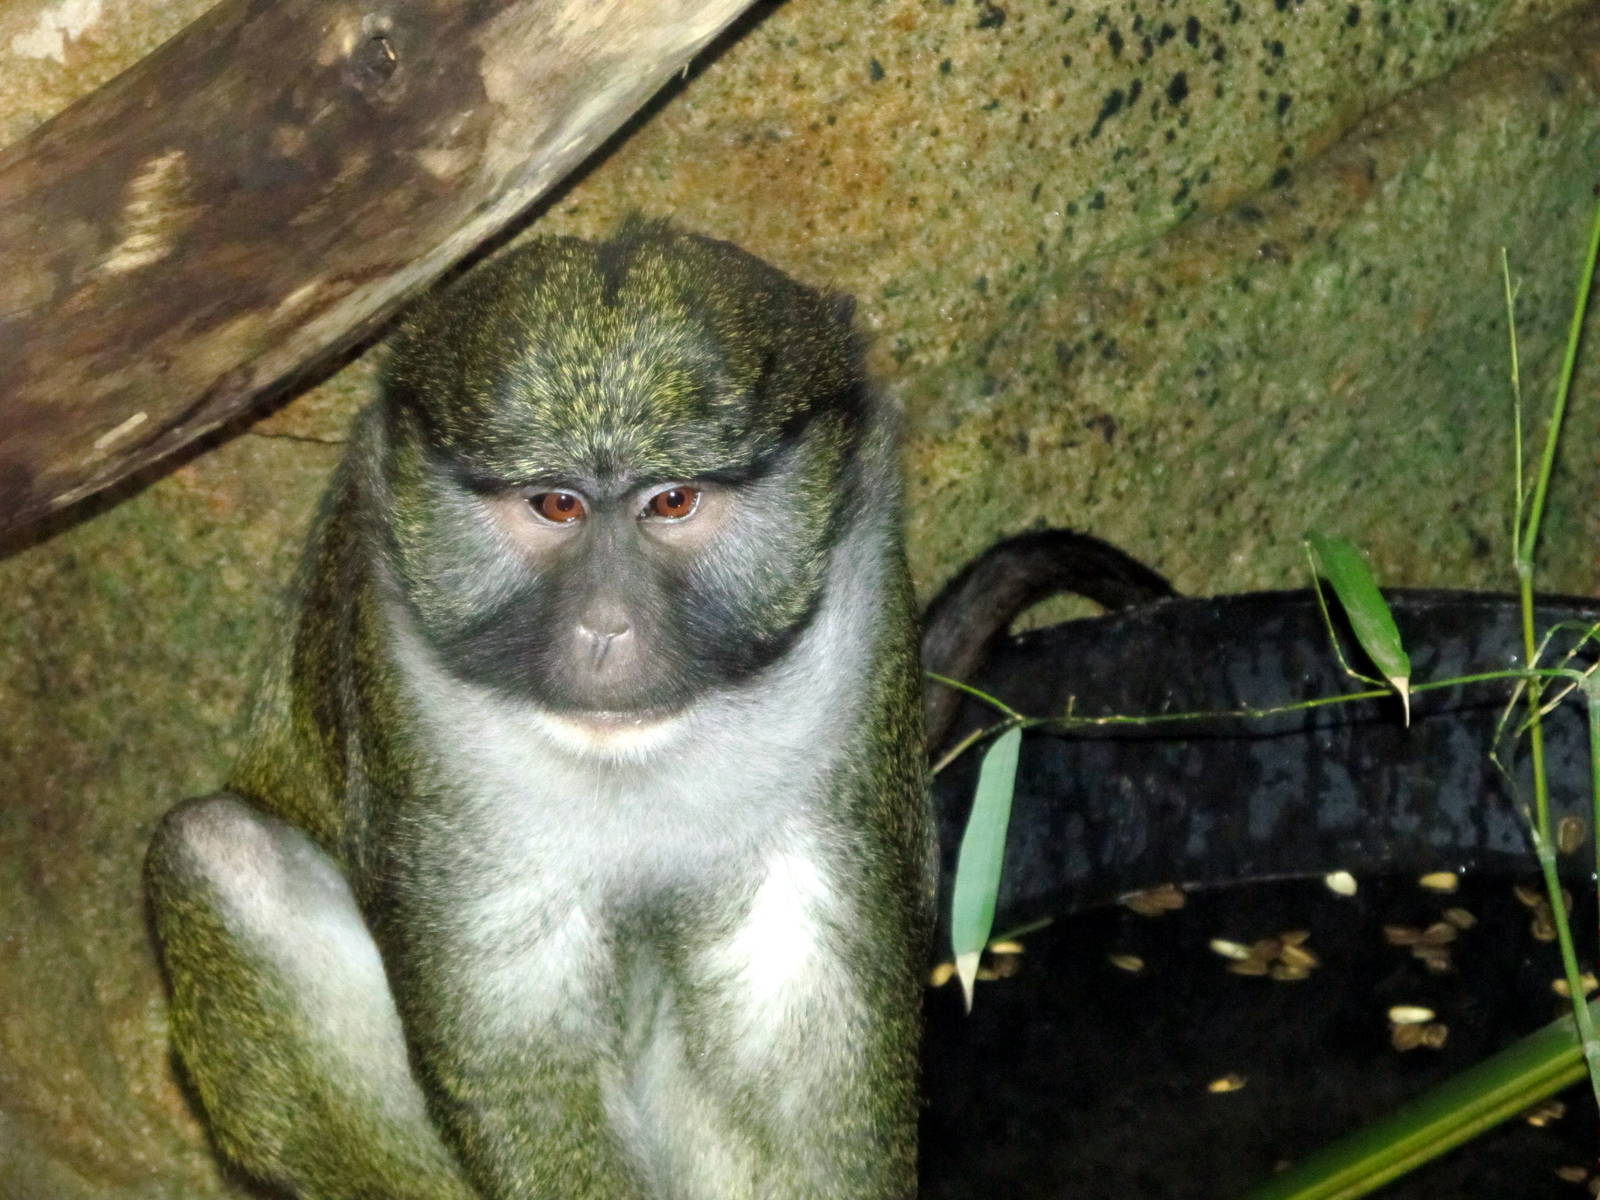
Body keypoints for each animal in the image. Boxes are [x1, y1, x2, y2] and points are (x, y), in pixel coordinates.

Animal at [145, 221, 934, 1200]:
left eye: (672, 500)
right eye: (557, 504)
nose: (605, 628)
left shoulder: (856, 631)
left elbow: (799, 1016)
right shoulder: (405, 673)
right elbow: (514, 1035)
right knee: (217, 850)